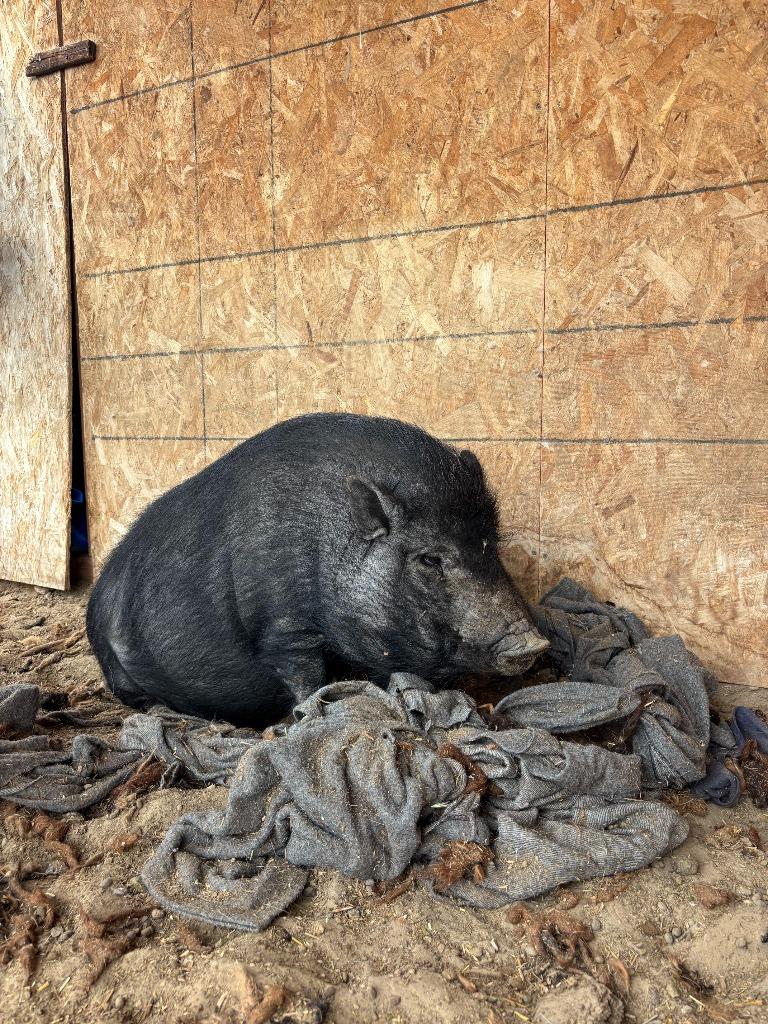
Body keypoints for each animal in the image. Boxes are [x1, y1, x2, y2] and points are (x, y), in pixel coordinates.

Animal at [87, 413, 548, 726]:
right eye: (429, 558)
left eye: (490, 545)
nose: (534, 642)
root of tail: (96, 595)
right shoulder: (283, 629)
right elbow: (307, 678)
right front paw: (311, 715)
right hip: (115, 667)